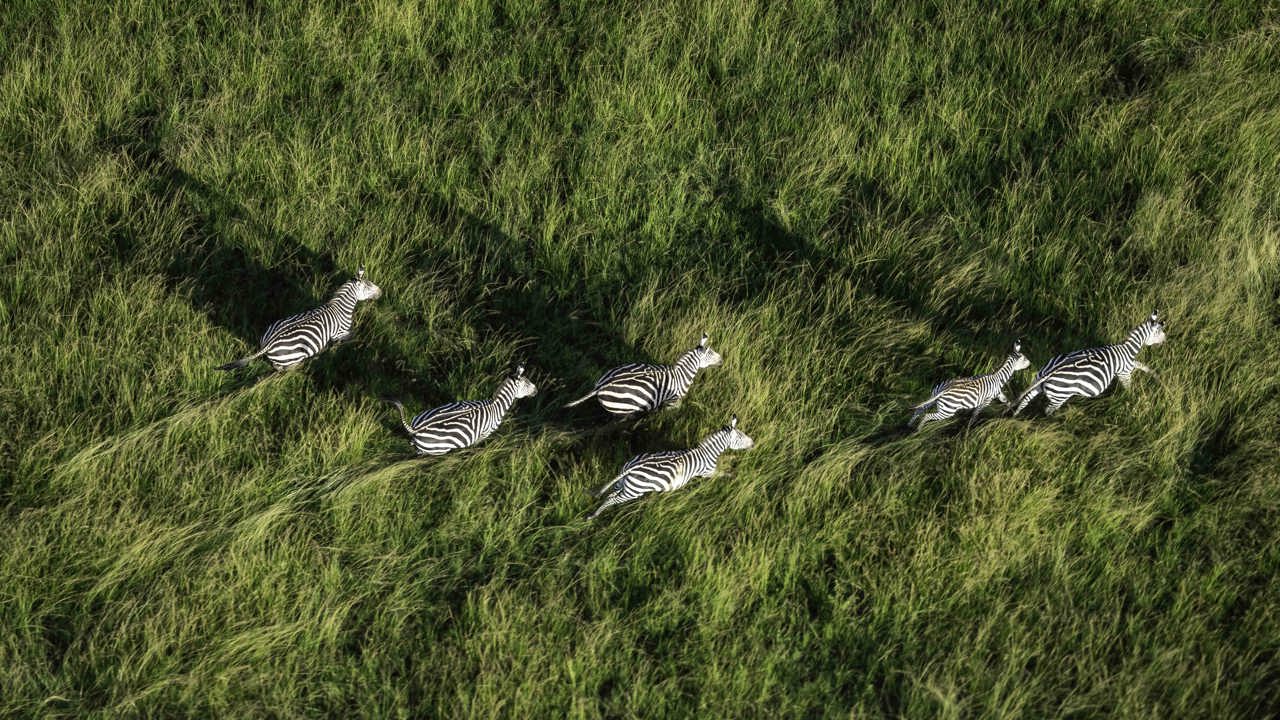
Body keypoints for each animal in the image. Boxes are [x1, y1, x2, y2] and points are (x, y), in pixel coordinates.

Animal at [217, 268, 382, 371]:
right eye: (368, 285)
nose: (381, 292)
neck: (340, 308)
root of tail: (268, 344)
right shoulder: (340, 333)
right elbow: (352, 335)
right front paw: (355, 343)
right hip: (295, 355)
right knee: (285, 368)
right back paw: (305, 365)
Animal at [389, 366, 538, 456]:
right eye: (527, 383)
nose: (537, 391)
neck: (496, 405)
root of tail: (416, 428)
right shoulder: (484, 433)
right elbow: (475, 446)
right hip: (438, 449)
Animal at [565, 333, 722, 418]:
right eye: (710, 353)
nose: (722, 360)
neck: (681, 375)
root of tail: (600, 385)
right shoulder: (672, 401)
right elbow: (669, 414)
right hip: (623, 408)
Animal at [588, 415, 754, 519]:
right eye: (741, 437)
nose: (753, 444)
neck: (707, 453)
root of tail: (633, 467)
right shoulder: (707, 472)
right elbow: (721, 473)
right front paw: (733, 475)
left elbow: (725, 461)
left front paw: (733, 460)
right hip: (634, 491)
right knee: (612, 499)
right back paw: (594, 516)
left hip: (623, 482)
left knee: (610, 494)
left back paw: (596, 511)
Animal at [1012, 311, 1166, 417]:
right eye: (1159, 332)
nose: (1166, 340)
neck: (1127, 349)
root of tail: (1050, 372)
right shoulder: (1125, 372)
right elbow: (1129, 386)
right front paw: (1133, 397)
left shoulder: (1129, 364)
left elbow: (1143, 366)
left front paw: (1157, 378)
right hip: (1059, 396)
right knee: (1047, 410)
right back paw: (1054, 422)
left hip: (1038, 382)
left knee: (1025, 400)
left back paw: (1015, 416)